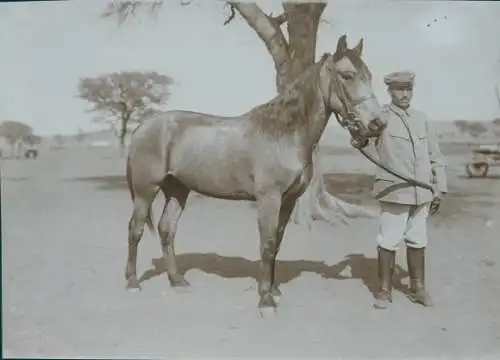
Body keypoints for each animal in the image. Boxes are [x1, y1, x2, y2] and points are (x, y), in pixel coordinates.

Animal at [123, 33, 384, 310]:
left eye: (368, 75)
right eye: (347, 75)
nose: (377, 123)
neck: (285, 134)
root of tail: (143, 127)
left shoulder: (288, 200)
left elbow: (277, 243)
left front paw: (274, 290)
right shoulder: (269, 198)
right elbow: (267, 244)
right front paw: (266, 300)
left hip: (178, 189)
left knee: (166, 230)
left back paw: (177, 281)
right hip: (145, 192)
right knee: (135, 230)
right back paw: (133, 283)